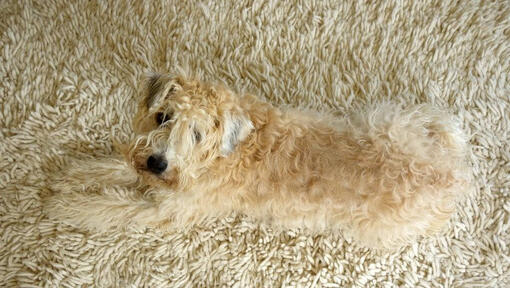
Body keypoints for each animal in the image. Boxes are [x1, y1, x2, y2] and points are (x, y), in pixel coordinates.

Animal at [45, 73, 472, 249]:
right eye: (163, 116)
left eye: (197, 134)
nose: (157, 163)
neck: (222, 156)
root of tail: (450, 175)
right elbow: (115, 167)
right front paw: (72, 175)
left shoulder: (164, 210)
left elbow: (109, 207)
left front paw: (67, 205)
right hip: (389, 120)